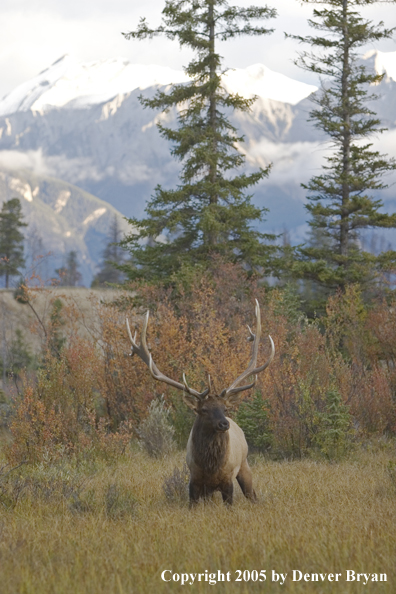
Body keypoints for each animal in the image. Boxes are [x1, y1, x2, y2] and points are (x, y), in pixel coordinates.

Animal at [125, 298, 274, 502]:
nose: (224, 424)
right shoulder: (194, 481)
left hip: (244, 464)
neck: (210, 468)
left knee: (252, 494)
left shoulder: (227, 480)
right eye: (204, 410)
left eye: (225, 408)